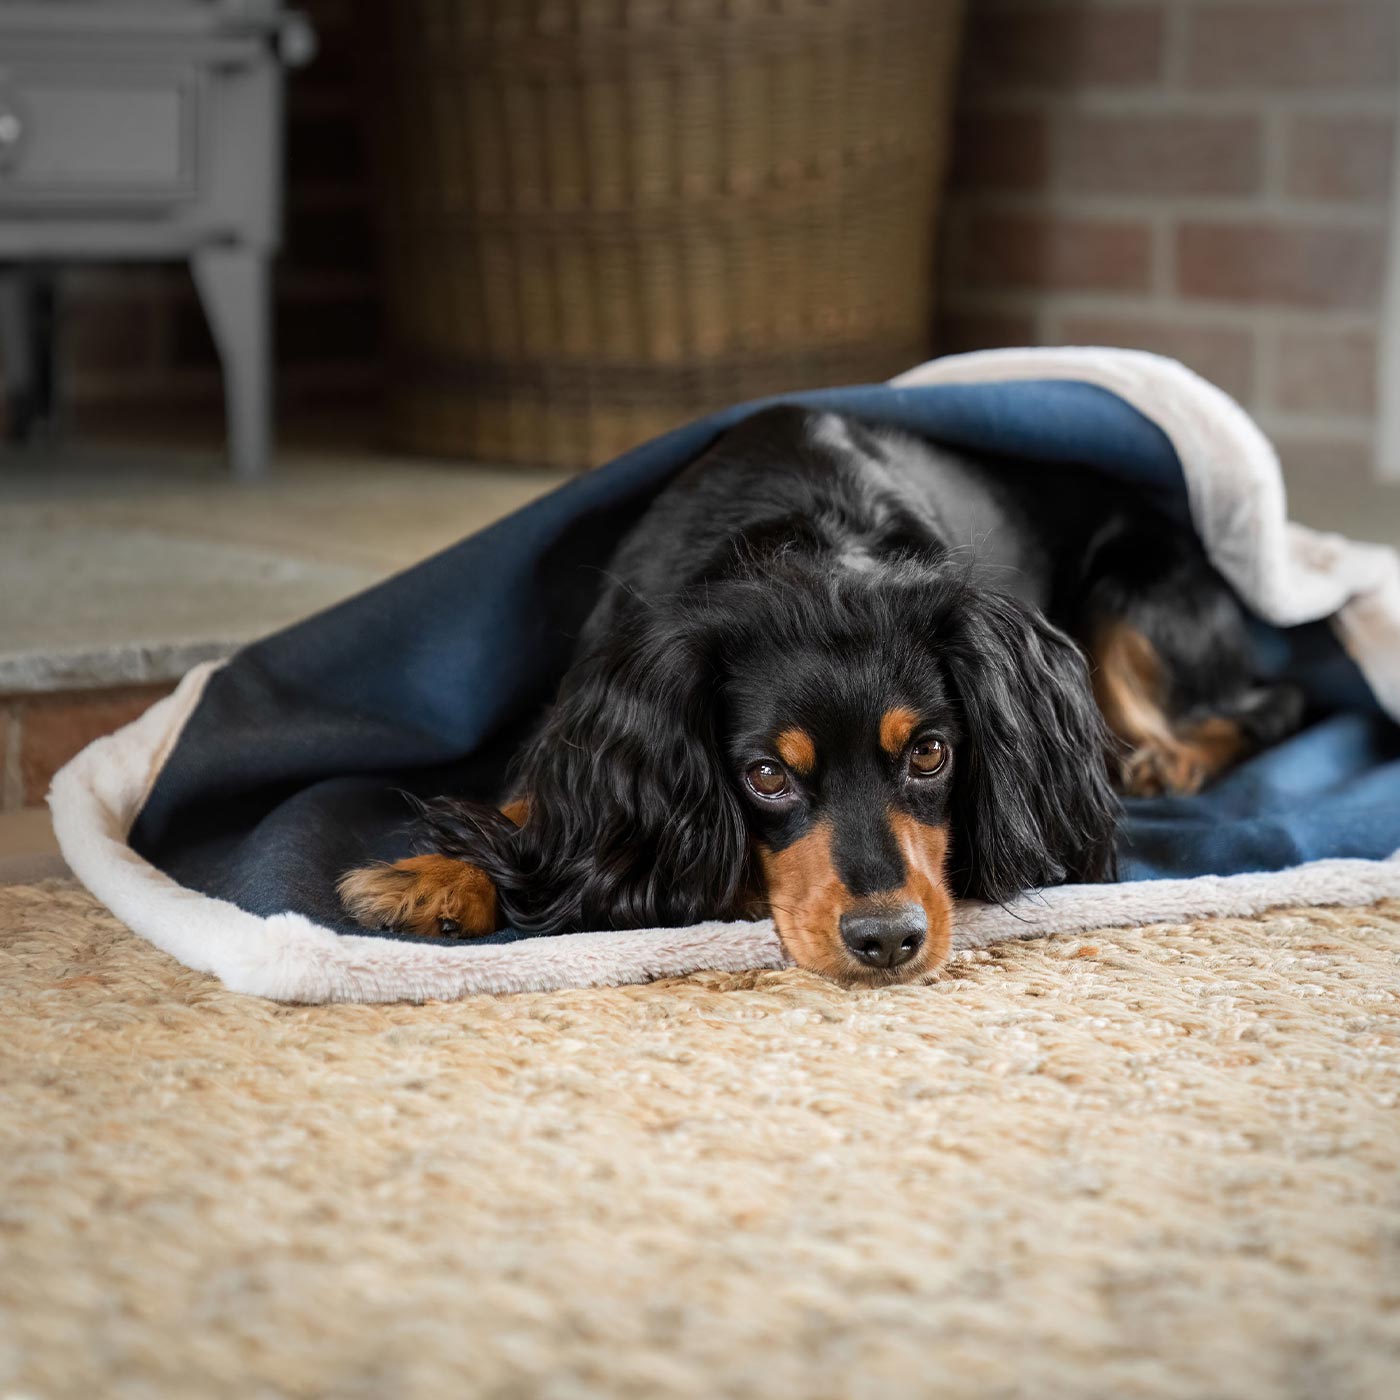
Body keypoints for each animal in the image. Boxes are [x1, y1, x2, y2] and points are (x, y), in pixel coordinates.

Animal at [338, 408, 1299, 985]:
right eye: (766, 775)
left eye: (930, 753)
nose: (886, 941)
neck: (815, 551)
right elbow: (545, 804)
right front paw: (433, 875)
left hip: (1137, 583)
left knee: (1256, 704)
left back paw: (1162, 761)